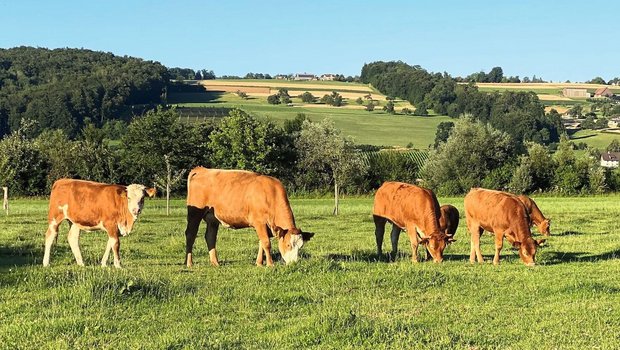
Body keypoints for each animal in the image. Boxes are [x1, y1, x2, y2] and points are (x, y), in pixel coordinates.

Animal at [182, 167, 312, 268]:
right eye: (288, 245)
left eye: (301, 246)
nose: (294, 263)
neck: (270, 194)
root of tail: (201, 169)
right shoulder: (259, 222)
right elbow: (266, 243)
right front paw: (270, 264)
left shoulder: (265, 226)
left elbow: (261, 243)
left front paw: (259, 263)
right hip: (194, 213)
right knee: (190, 234)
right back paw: (189, 263)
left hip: (212, 218)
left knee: (210, 237)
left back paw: (215, 262)